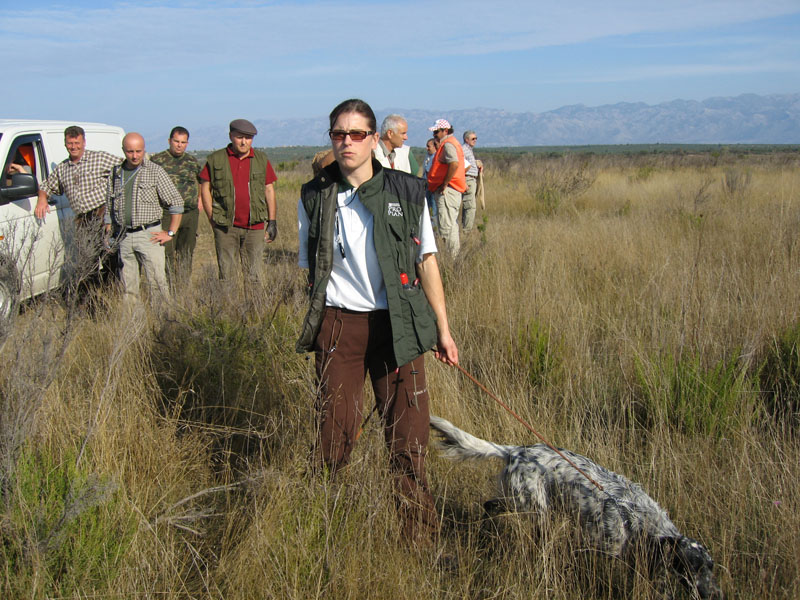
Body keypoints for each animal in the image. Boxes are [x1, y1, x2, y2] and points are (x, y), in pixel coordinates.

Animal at [432, 418, 724, 600]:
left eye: (711, 567)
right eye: (695, 568)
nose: (716, 595)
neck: (637, 518)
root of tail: (516, 451)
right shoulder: (599, 543)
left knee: (490, 506)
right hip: (529, 504)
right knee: (490, 506)